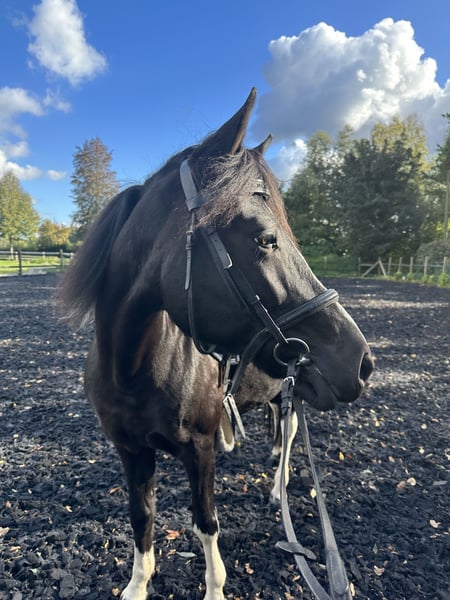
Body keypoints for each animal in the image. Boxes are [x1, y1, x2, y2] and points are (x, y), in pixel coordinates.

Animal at [59, 88, 373, 600]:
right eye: (265, 239)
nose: (361, 361)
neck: (131, 369)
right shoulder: (130, 449)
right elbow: (141, 516)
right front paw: (138, 584)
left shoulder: (200, 449)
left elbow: (205, 522)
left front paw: (214, 587)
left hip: (291, 393)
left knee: (289, 435)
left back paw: (277, 489)